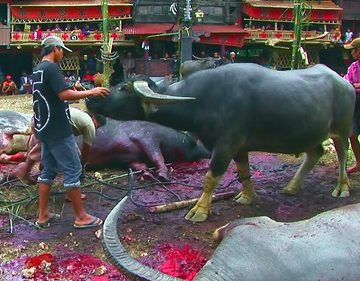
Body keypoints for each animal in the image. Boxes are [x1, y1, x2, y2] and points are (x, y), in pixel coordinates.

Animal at [86, 63, 356, 221]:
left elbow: (210, 178)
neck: (202, 100)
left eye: (123, 88)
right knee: (316, 152)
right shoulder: (239, 147)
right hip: (309, 133)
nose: (91, 99)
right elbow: (244, 171)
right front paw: (247, 197)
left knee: (343, 153)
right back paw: (291, 186)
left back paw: (342, 187)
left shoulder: (226, 144)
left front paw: (199, 211)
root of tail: (343, 81)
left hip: (341, 129)